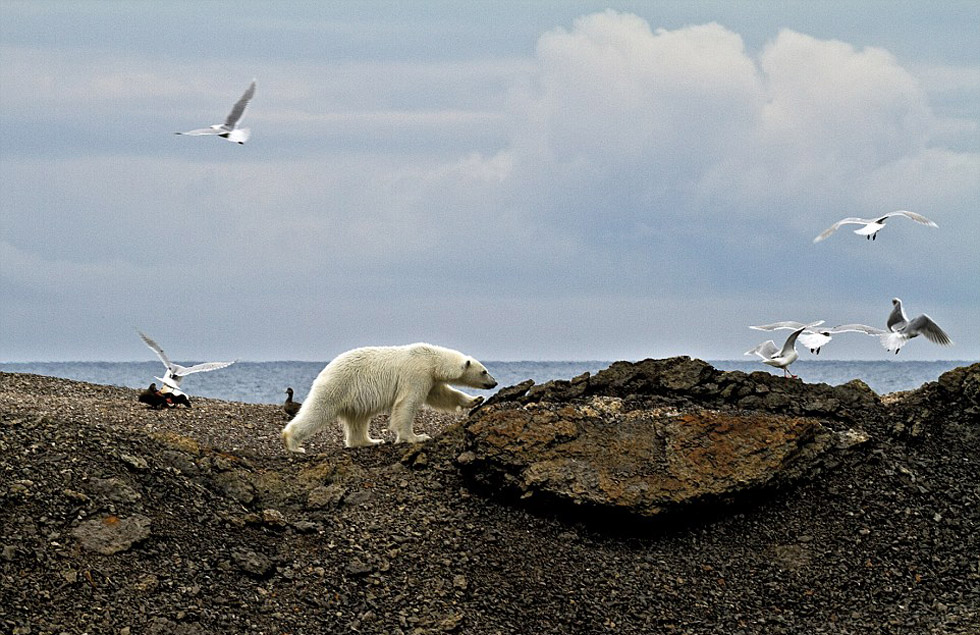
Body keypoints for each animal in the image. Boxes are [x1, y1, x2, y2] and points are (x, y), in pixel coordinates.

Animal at [284, 342, 498, 452]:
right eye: (484, 371)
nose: (494, 383)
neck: (431, 358)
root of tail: (324, 370)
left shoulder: (431, 379)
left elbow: (443, 395)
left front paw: (475, 400)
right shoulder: (417, 372)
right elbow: (407, 403)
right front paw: (415, 437)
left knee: (358, 419)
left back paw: (370, 441)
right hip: (338, 385)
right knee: (318, 410)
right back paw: (293, 444)